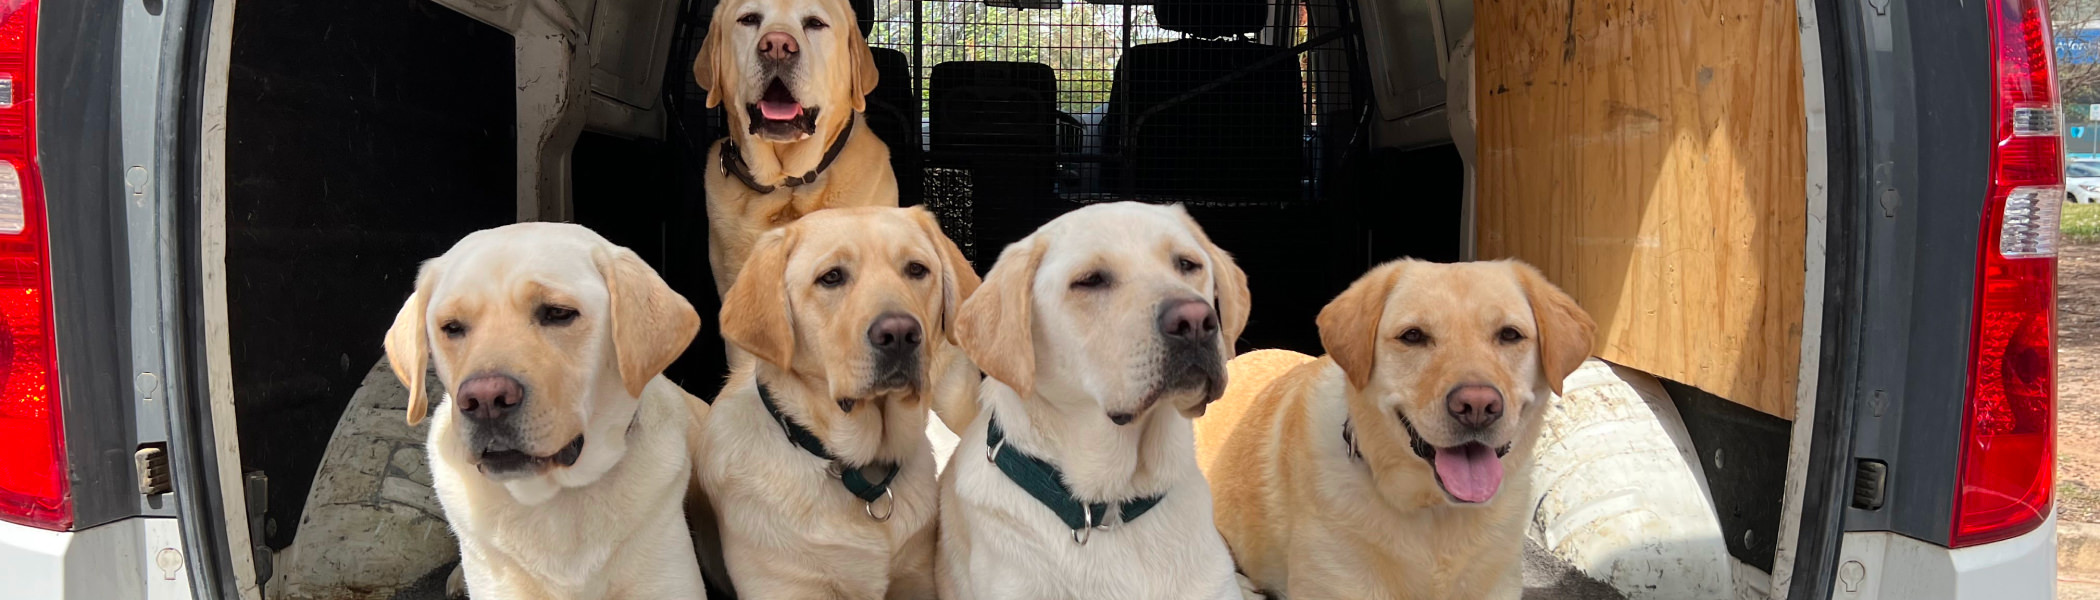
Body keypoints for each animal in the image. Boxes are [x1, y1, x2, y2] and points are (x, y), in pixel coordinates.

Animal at [692, 207, 978, 600]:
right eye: (831, 277)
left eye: (916, 269)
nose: (900, 333)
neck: (858, 468)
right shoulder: (787, 585)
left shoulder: (917, 579)